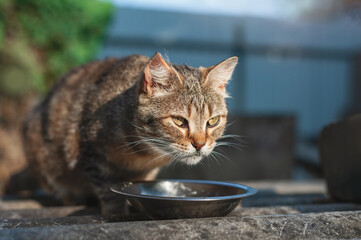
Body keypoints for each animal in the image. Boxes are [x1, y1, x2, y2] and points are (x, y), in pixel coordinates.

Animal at [21, 52, 236, 214]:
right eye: (179, 121)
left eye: (213, 121)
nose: (200, 144)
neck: (144, 152)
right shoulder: (90, 153)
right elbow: (107, 190)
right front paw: (116, 212)